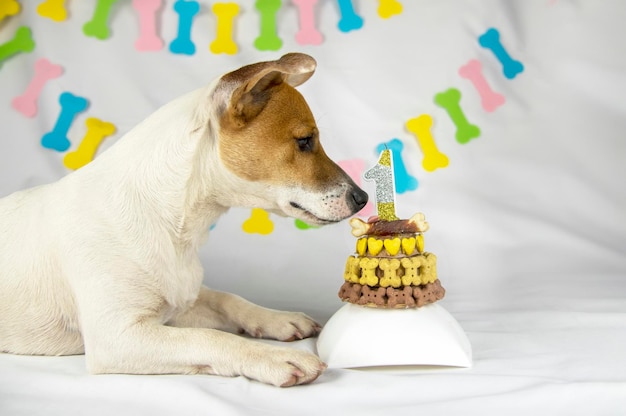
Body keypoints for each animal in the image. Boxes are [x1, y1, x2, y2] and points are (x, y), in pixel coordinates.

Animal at [0, 52, 368, 386]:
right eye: (305, 141)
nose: (363, 199)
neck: (174, 225)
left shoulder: (181, 302)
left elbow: (227, 299)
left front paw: (277, 319)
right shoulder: (118, 336)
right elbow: (209, 338)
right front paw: (273, 358)